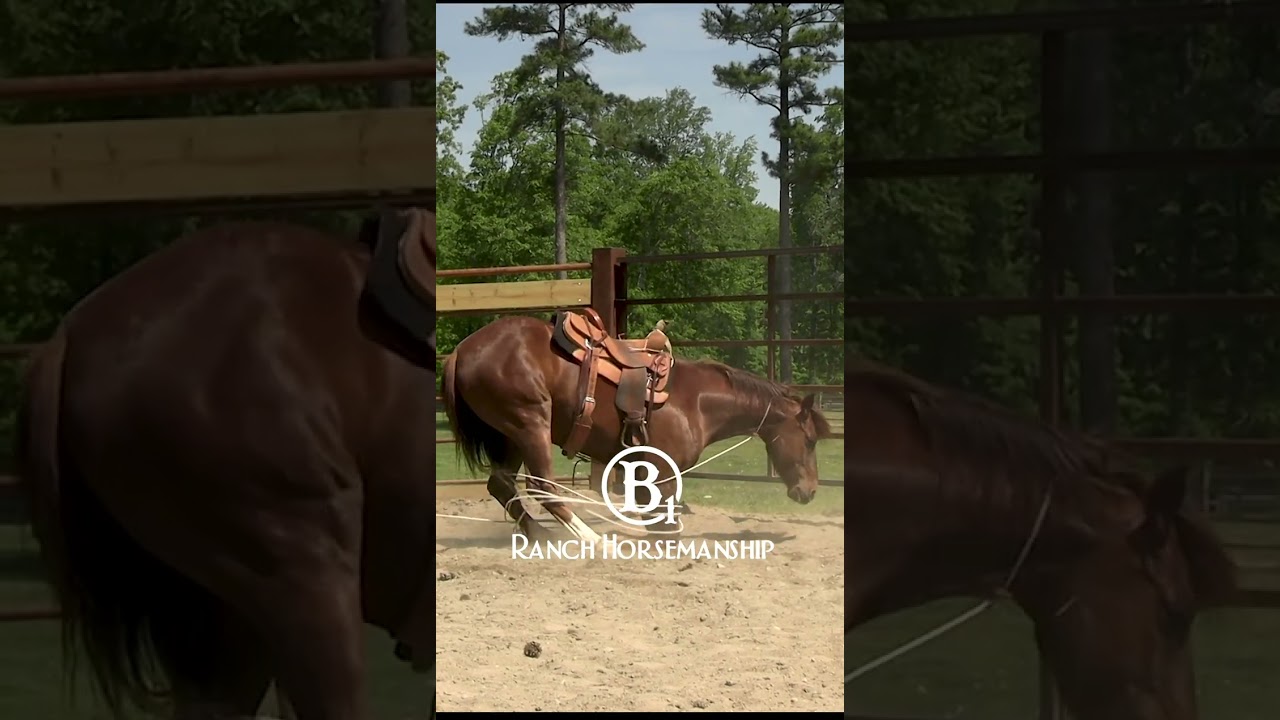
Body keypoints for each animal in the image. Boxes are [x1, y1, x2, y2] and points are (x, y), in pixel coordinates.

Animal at [440, 313, 835, 543]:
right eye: (809, 440)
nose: (810, 491)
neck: (698, 402)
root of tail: (462, 349)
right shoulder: (662, 471)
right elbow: (664, 520)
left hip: (510, 435)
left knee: (502, 484)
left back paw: (540, 535)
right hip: (530, 423)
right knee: (542, 487)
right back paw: (590, 540)